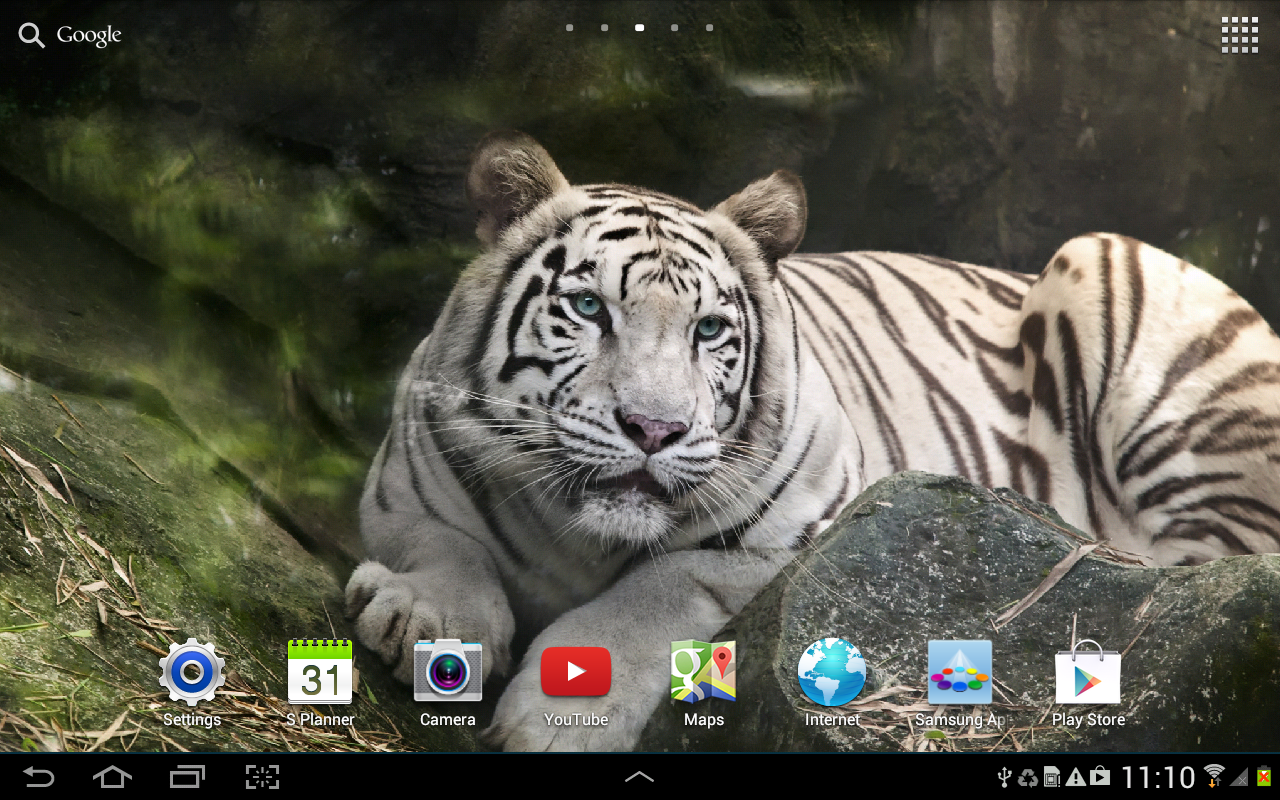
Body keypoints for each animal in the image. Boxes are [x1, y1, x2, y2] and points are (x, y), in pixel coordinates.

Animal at [344, 131, 1280, 751]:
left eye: (709, 330)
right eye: (587, 308)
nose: (655, 429)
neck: (578, 532)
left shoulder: (802, 529)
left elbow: (659, 591)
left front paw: (560, 717)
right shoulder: (403, 484)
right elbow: (444, 544)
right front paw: (429, 620)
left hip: (1122, 282)